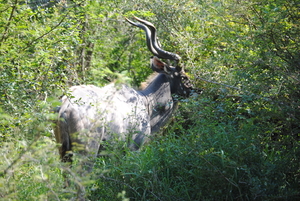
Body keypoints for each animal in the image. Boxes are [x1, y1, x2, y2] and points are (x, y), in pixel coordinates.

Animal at [54, 16, 196, 163]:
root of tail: (65, 106)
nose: (197, 90)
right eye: (184, 77)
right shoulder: (134, 148)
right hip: (87, 152)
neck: (147, 102)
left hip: (64, 154)